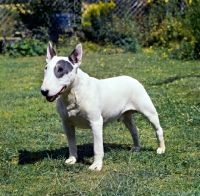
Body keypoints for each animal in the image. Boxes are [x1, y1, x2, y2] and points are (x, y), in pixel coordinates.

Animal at [40, 42, 166, 170]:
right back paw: (136, 147)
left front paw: (96, 165)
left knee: (158, 129)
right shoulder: (66, 123)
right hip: (126, 115)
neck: (73, 92)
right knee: (134, 129)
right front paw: (72, 159)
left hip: (148, 111)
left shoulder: (95, 122)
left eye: (60, 69)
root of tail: (133, 79)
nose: (43, 91)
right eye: (46, 68)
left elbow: (97, 147)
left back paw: (161, 148)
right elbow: (71, 143)